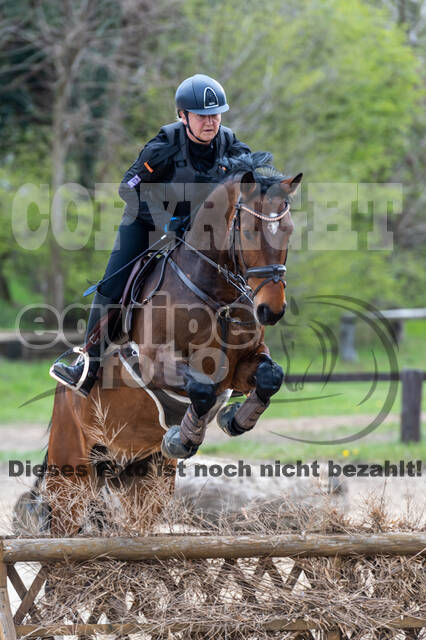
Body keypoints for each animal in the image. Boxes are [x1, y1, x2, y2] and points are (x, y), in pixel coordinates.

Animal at [41, 151, 302, 536]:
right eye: (248, 231)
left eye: (288, 230)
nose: (271, 309)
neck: (216, 295)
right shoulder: (156, 364)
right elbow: (202, 389)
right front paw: (184, 437)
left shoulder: (241, 368)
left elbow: (270, 376)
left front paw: (234, 419)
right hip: (70, 475)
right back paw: (75, 372)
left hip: (143, 480)